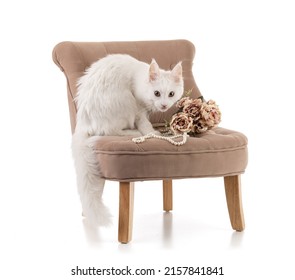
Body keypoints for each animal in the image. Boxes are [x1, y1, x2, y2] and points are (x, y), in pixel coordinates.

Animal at [73, 54, 184, 225]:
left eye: (171, 94)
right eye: (157, 93)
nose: (164, 105)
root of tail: (84, 122)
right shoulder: (138, 108)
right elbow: (145, 124)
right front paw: (153, 133)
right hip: (125, 101)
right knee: (111, 131)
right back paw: (134, 133)